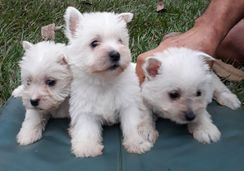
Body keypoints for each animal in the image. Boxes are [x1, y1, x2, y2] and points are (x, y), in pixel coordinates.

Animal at [63, 6, 157, 157]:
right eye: (94, 43)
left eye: (120, 41)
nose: (115, 54)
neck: (105, 81)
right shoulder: (85, 109)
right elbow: (86, 128)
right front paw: (87, 147)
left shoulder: (129, 103)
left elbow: (133, 124)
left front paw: (137, 143)